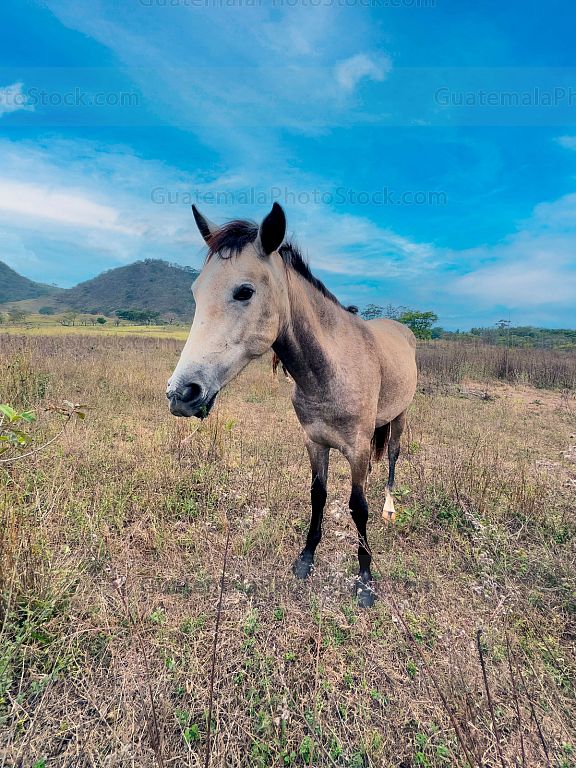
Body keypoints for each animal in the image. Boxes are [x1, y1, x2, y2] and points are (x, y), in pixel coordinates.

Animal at [167, 203, 417, 607]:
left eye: (245, 291)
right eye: (196, 292)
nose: (181, 393)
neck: (331, 370)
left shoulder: (358, 448)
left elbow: (358, 508)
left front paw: (365, 579)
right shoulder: (314, 442)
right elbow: (318, 496)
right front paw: (306, 559)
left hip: (400, 416)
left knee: (393, 457)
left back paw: (390, 507)